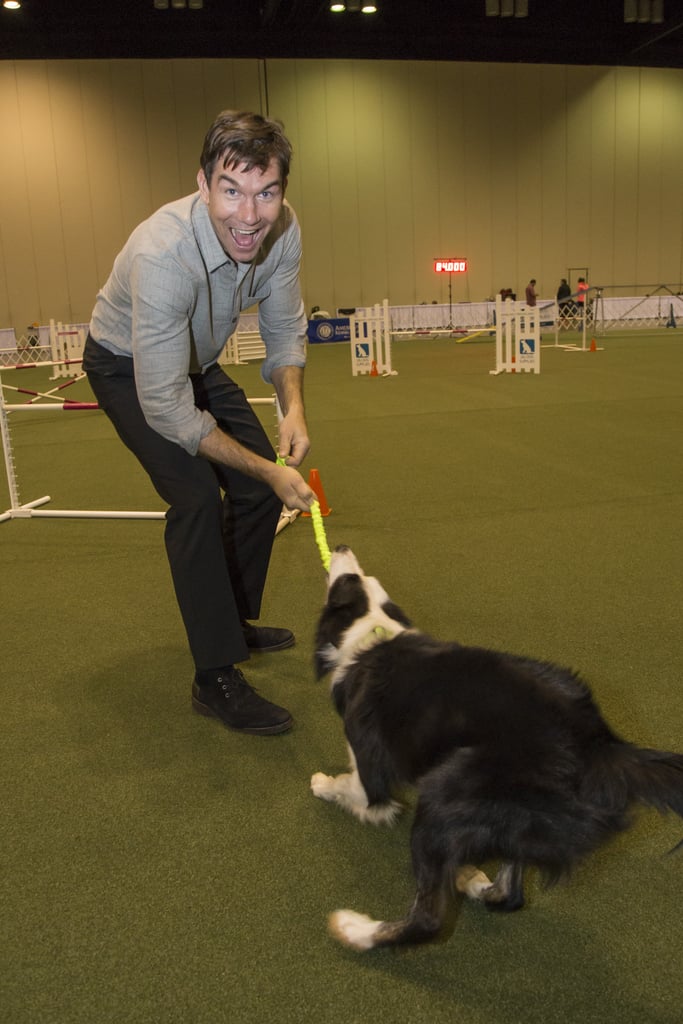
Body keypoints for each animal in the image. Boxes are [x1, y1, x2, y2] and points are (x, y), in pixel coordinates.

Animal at [313, 548, 683, 946]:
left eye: (348, 579)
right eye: (361, 576)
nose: (341, 548)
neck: (372, 629)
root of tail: (597, 744)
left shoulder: (367, 762)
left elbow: (356, 790)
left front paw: (322, 785)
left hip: (449, 790)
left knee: (429, 917)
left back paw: (354, 929)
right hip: (517, 812)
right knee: (509, 893)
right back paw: (468, 877)